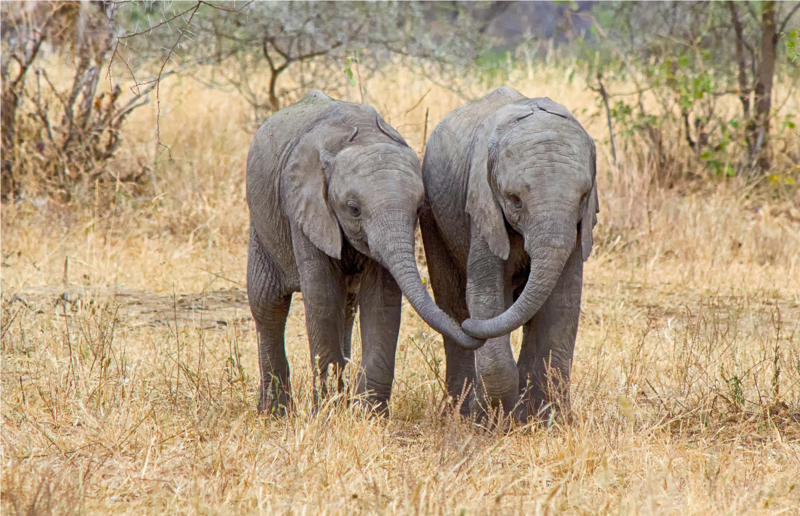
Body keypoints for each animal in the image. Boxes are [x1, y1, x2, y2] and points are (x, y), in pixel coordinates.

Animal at [246, 90, 483, 415]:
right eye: (353, 209)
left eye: (418, 209)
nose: (472, 326)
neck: (361, 138)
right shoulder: (305, 210)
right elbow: (321, 296)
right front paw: (328, 414)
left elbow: (382, 299)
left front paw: (368, 415)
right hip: (260, 224)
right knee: (268, 304)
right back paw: (274, 413)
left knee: (346, 307)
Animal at [419, 86, 598, 422]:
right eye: (514, 199)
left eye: (583, 197)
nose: (470, 329)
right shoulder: (482, 204)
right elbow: (486, 295)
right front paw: (499, 417)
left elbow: (563, 302)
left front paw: (546, 421)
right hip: (432, 218)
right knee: (451, 299)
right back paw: (463, 411)